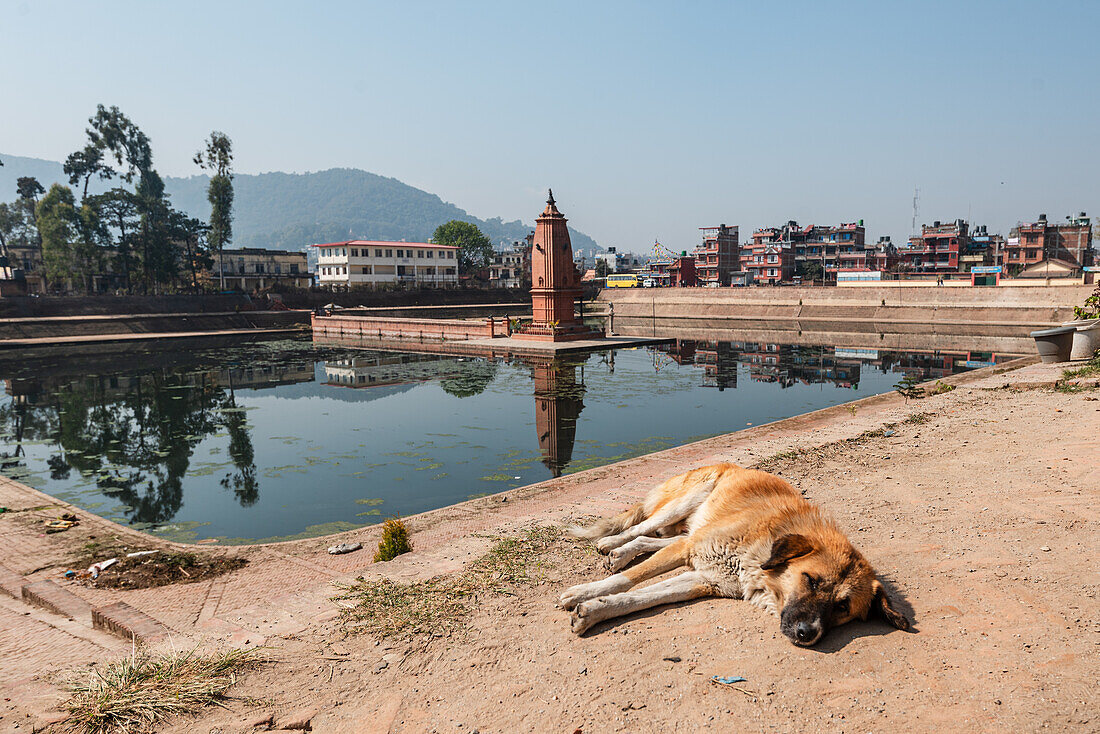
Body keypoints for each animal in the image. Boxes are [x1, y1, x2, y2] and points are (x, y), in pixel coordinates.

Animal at [558, 462, 910, 647]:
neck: (755, 558)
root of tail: (734, 464)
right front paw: (584, 592)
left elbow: (641, 596)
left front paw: (594, 610)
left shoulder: (703, 578)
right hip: (687, 502)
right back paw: (612, 544)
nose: (806, 633)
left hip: (687, 533)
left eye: (842, 606)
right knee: (641, 527)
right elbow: (627, 581)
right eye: (810, 580)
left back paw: (620, 552)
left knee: (650, 538)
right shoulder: (693, 552)